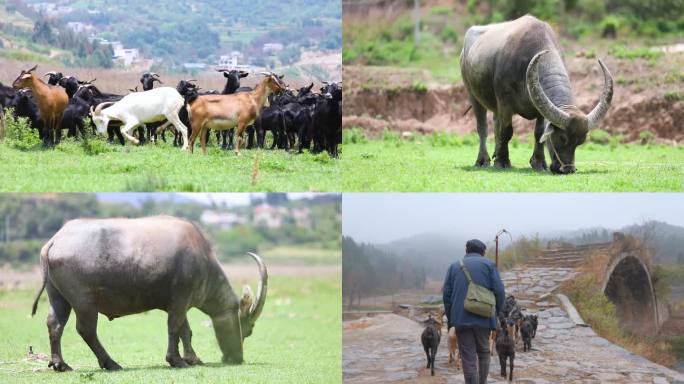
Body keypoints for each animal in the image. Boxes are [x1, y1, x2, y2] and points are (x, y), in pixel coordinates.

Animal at [31, 214, 268, 370]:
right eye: (249, 330)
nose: (236, 358)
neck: (203, 260)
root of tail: (55, 240)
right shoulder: (179, 302)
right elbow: (174, 329)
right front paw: (176, 360)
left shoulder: (180, 304)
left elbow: (186, 331)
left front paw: (193, 359)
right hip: (85, 302)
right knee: (86, 330)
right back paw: (111, 363)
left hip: (58, 297)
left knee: (55, 324)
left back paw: (60, 364)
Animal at [462, 15, 612, 174]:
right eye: (561, 138)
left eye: (580, 142)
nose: (568, 169)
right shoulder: (505, 104)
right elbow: (507, 131)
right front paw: (502, 162)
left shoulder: (539, 110)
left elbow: (538, 133)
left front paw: (539, 163)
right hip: (473, 95)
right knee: (483, 128)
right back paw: (483, 160)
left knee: (496, 125)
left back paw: (496, 154)